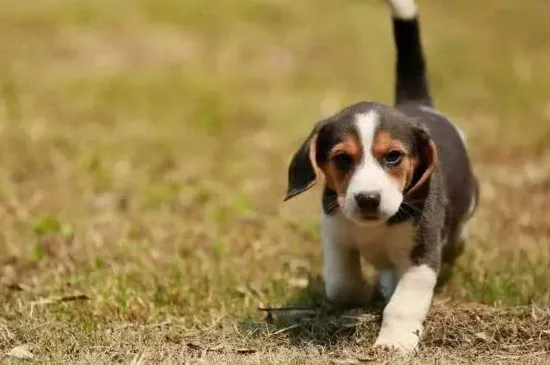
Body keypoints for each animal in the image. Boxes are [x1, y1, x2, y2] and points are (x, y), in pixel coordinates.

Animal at [284, 0, 478, 352]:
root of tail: (417, 104)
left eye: (393, 157)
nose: (368, 199)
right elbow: (341, 285)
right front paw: (361, 295)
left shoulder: (422, 258)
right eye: (342, 159)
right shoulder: (335, 233)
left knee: (456, 237)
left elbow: (403, 305)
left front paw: (394, 342)